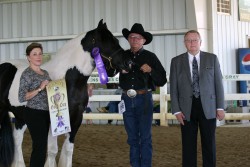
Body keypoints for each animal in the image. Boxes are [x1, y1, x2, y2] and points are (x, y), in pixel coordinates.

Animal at [0, 19, 132, 167]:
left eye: (115, 40)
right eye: (104, 41)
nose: (128, 63)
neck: (68, 79)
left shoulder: (76, 118)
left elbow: (68, 150)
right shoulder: (52, 120)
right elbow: (52, 150)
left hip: (20, 116)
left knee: (17, 139)